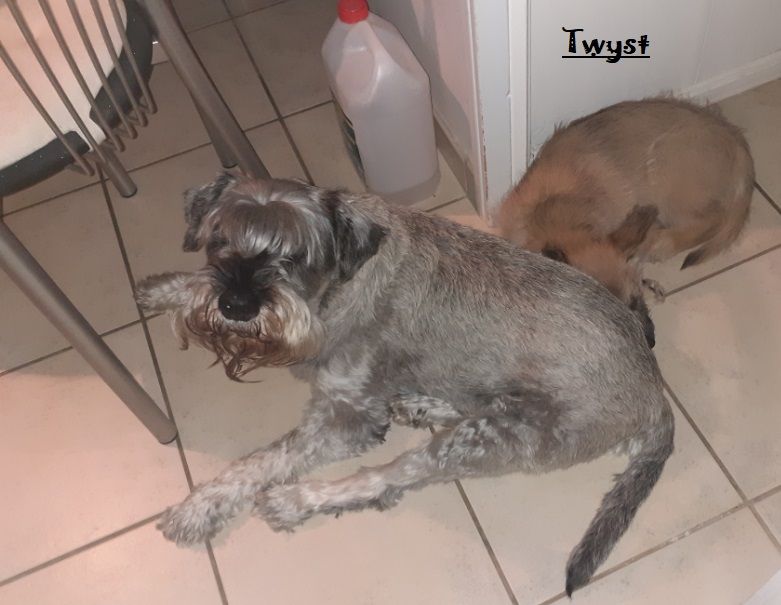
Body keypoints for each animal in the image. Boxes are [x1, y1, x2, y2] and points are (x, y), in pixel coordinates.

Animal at [136, 174, 674, 596]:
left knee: (390, 477)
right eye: (219, 238)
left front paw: (197, 508)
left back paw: (295, 500)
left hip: (500, 437)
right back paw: (421, 404)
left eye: (296, 256)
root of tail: (655, 391)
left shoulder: (346, 416)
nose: (237, 305)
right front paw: (164, 289)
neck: (342, 284)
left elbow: (264, 459)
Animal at [499, 97, 754, 348]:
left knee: (715, 219)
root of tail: (734, 138)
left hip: (664, 170)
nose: (651, 342)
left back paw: (665, 242)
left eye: (633, 302)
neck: (560, 213)